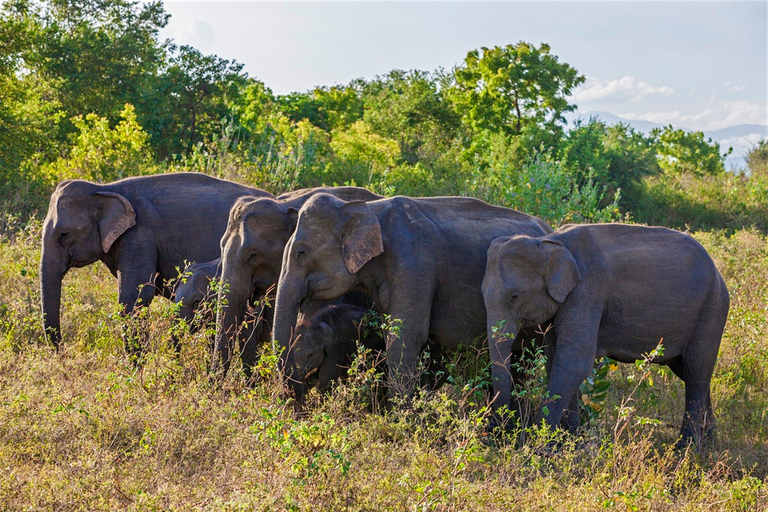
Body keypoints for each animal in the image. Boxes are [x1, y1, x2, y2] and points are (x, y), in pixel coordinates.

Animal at [270, 192, 552, 400]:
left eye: (301, 253)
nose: (299, 403)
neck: (366, 209)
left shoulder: (414, 267)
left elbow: (404, 337)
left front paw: (400, 420)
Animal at [484, 224, 728, 444]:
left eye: (514, 296)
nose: (496, 436)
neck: (550, 242)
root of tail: (718, 274)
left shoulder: (588, 292)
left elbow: (574, 362)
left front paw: (543, 445)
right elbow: (556, 360)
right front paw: (570, 441)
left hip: (712, 310)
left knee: (696, 369)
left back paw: (686, 448)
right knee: (689, 372)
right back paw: (709, 444)